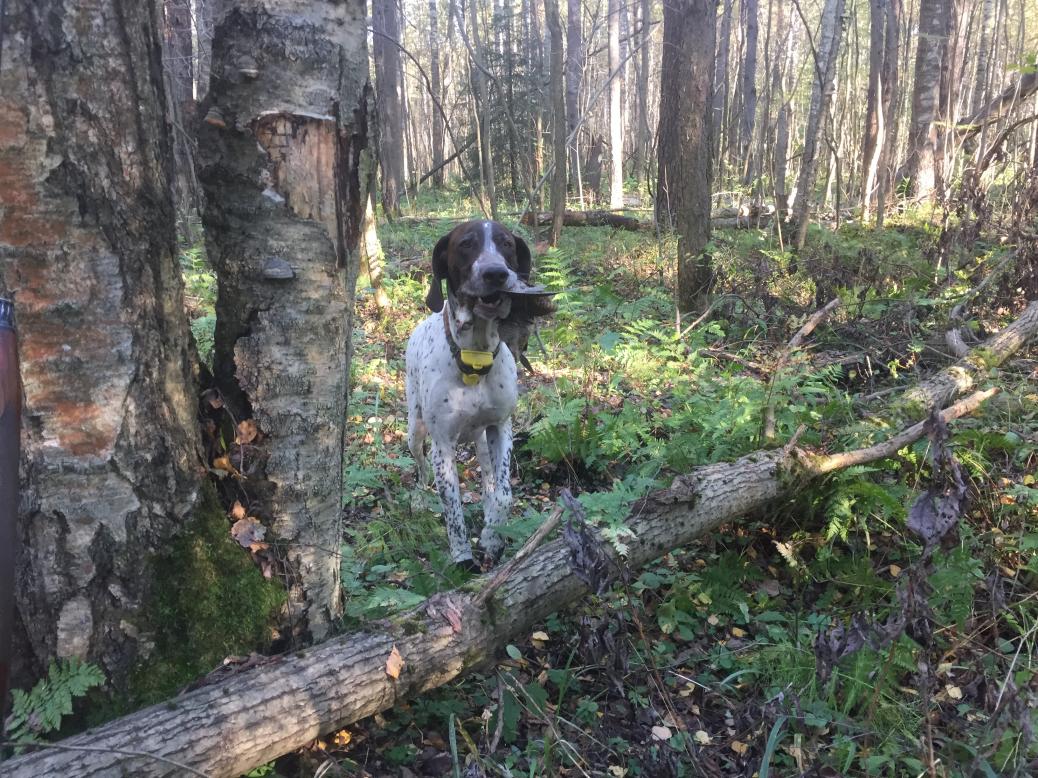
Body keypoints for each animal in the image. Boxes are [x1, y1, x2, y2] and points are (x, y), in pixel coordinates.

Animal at [405, 221, 550, 569]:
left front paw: (491, 537)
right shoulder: (442, 446)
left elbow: (503, 494)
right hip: (415, 430)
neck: (476, 356)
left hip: (483, 441)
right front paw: (462, 556)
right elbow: (453, 508)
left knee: (488, 480)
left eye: (507, 244)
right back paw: (420, 495)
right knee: (420, 466)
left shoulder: (501, 427)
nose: (495, 273)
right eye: (466, 244)